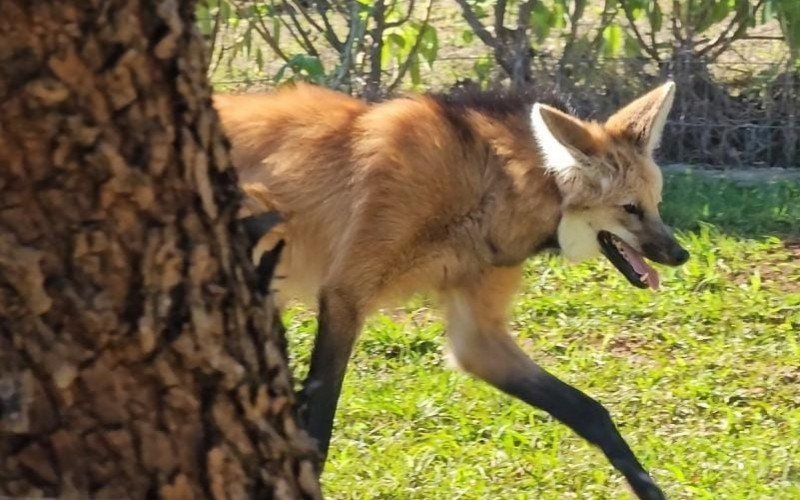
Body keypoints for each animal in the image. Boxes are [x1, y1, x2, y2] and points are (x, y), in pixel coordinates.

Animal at [216, 80, 692, 498]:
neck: (485, 185)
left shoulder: (476, 331)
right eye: (630, 209)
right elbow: (320, 419)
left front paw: (649, 489)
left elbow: (589, 411)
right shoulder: (345, 293)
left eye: (656, 204)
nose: (680, 254)